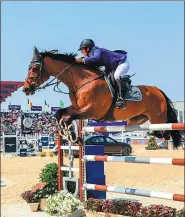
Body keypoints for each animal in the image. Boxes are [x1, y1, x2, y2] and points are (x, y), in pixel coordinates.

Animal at [22, 47, 183, 149]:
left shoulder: (91, 111)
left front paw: (73, 135)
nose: (25, 89)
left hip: (158, 118)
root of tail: (158, 91)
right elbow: (59, 113)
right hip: (137, 119)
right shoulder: (77, 108)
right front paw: (66, 132)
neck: (82, 82)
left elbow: (67, 118)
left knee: (165, 132)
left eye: (34, 69)